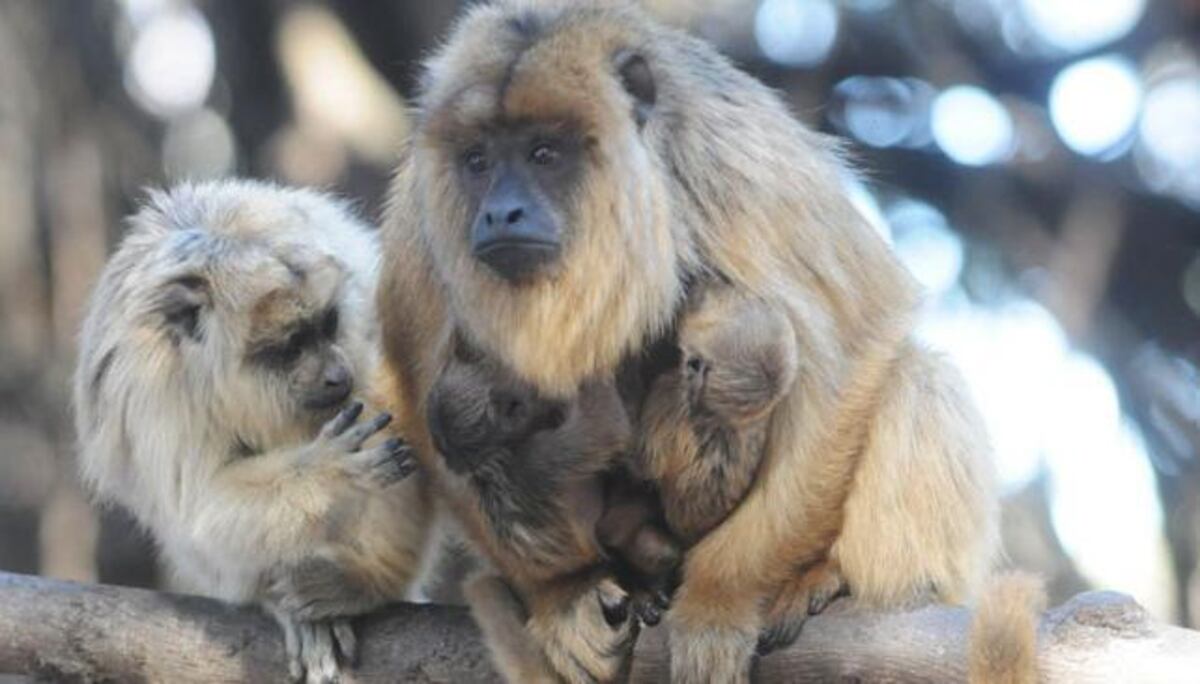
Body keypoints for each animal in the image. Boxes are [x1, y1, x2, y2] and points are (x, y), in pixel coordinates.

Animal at [74, 180, 436, 684]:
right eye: (291, 345)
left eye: (328, 324)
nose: (336, 374)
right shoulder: (154, 389)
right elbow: (197, 507)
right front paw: (330, 472)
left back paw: (368, 581)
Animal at [377, 2, 1000, 682]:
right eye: (478, 161)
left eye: (545, 153)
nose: (499, 212)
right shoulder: (420, 215)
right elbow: (417, 395)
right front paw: (565, 590)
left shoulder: (734, 158)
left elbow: (857, 338)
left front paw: (719, 601)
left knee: (919, 376)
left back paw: (835, 578)